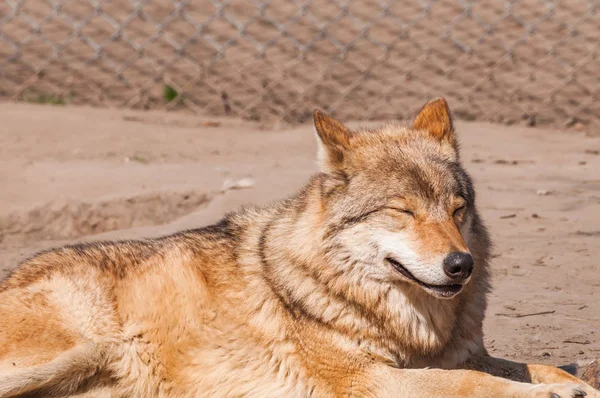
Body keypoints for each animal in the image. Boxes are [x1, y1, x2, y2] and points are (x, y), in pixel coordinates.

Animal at [0, 97, 596, 398]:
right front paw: (546, 396)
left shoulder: (469, 354)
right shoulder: (369, 379)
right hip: (71, 354)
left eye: (457, 210)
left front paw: (569, 385)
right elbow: (471, 384)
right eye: (402, 211)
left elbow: (537, 368)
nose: (461, 265)